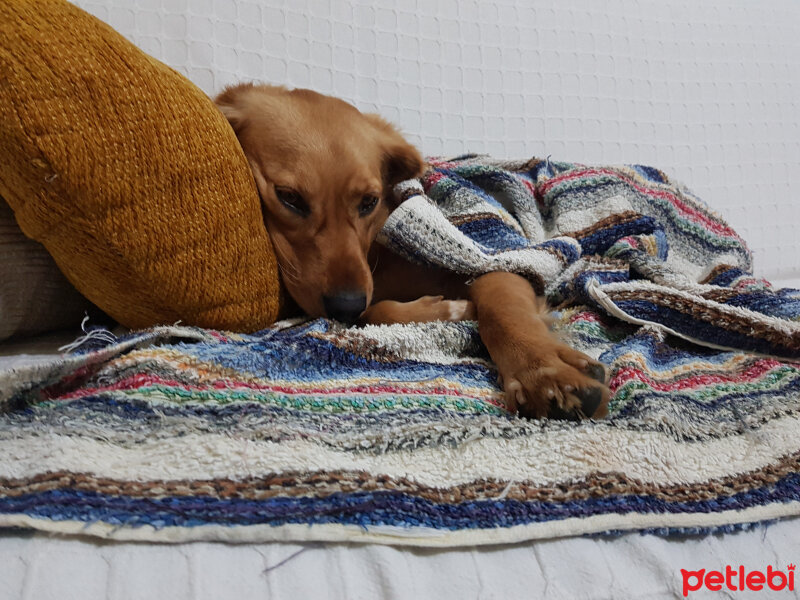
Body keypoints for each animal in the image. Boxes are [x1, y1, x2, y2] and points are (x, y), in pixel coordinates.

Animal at [216, 84, 608, 420]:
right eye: (290, 198)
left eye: (369, 201)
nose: (345, 305)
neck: (376, 250)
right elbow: (375, 311)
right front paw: (450, 309)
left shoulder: (497, 255)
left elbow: (502, 310)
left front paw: (542, 370)